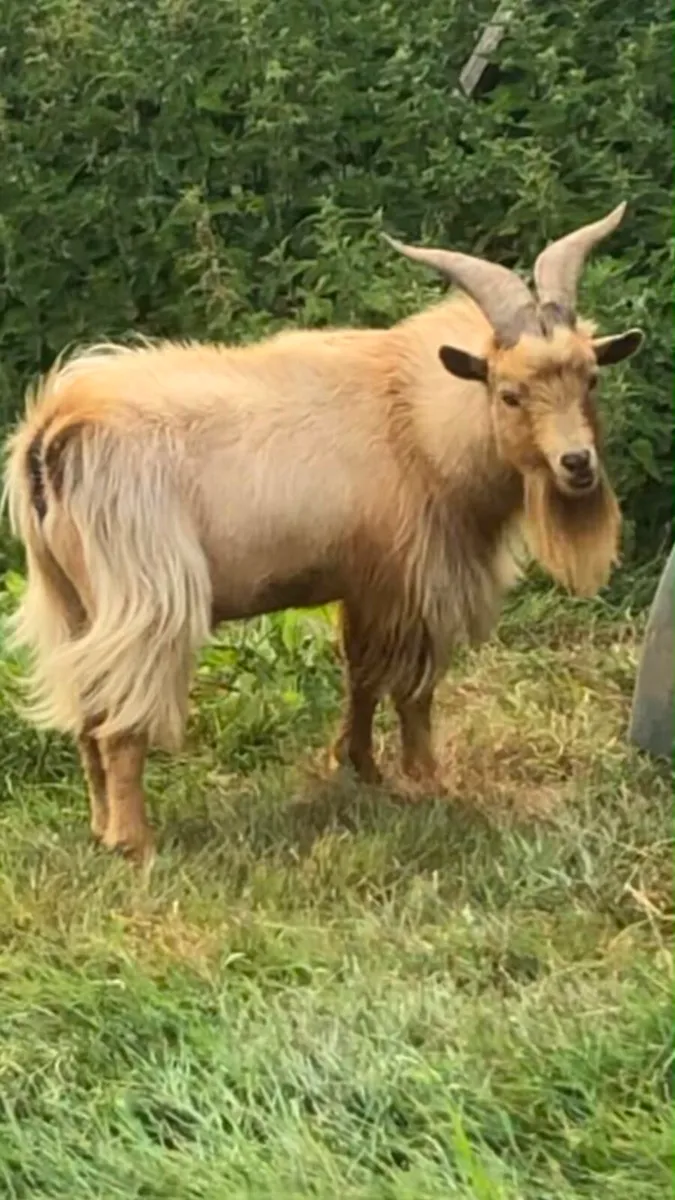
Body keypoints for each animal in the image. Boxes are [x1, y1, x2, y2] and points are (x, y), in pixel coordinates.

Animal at [3, 202, 643, 862]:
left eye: (590, 379)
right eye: (509, 392)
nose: (576, 464)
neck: (411, 418)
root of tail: (53, 434)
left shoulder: (365, 584)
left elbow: (360, 677)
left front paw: (360, 767)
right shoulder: (416, 581)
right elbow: (413, 691)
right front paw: (427, 782)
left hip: (70, 603)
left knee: (87, 718)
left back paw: (101, 827)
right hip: (145, 600)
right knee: (118, 725)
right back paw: (136, 844)